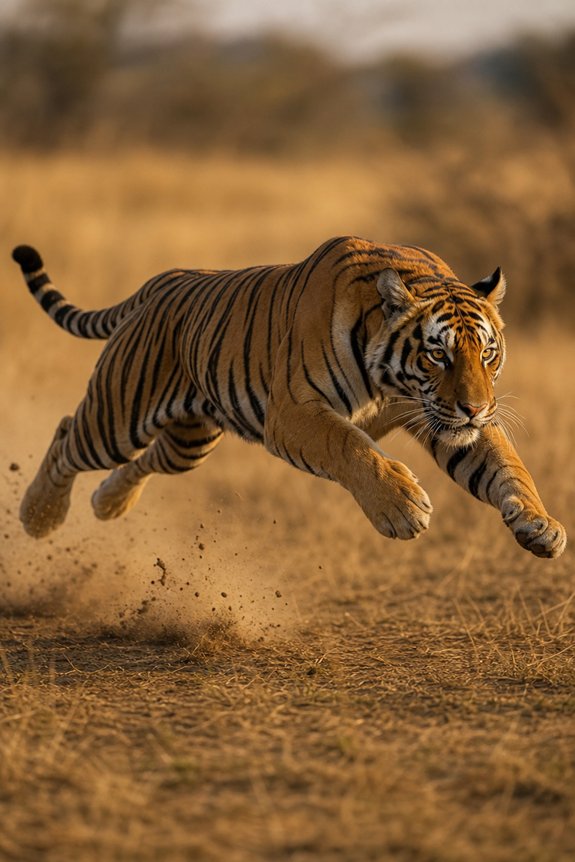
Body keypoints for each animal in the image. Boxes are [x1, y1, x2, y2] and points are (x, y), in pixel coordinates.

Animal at [11, 236, 566, 558]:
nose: (476, 407)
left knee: (140, 463)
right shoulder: (293, 413)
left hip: (189, 441)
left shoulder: (446, 421)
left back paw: (108, 503)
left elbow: (507, 467)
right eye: (438, 355)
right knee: (67, 435)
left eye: (488, 354)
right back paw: (39, 515)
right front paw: (402, 508)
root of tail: (163, 279)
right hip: (119, 414)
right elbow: (352, 447)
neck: (393, 380)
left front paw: (541, 526)